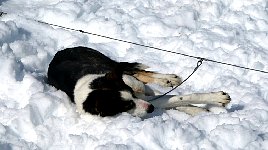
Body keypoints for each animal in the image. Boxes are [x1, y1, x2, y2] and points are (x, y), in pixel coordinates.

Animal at [47, 46, 230, 116]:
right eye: (126, 106)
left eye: (130, 99)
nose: (150, 109)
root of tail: (60, 52)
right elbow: (176, 100)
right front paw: (200, 109)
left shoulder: (130, 85)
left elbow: (178, 97)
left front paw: (216, 98)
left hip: (108, 62)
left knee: (138, 72)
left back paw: (168, 79)